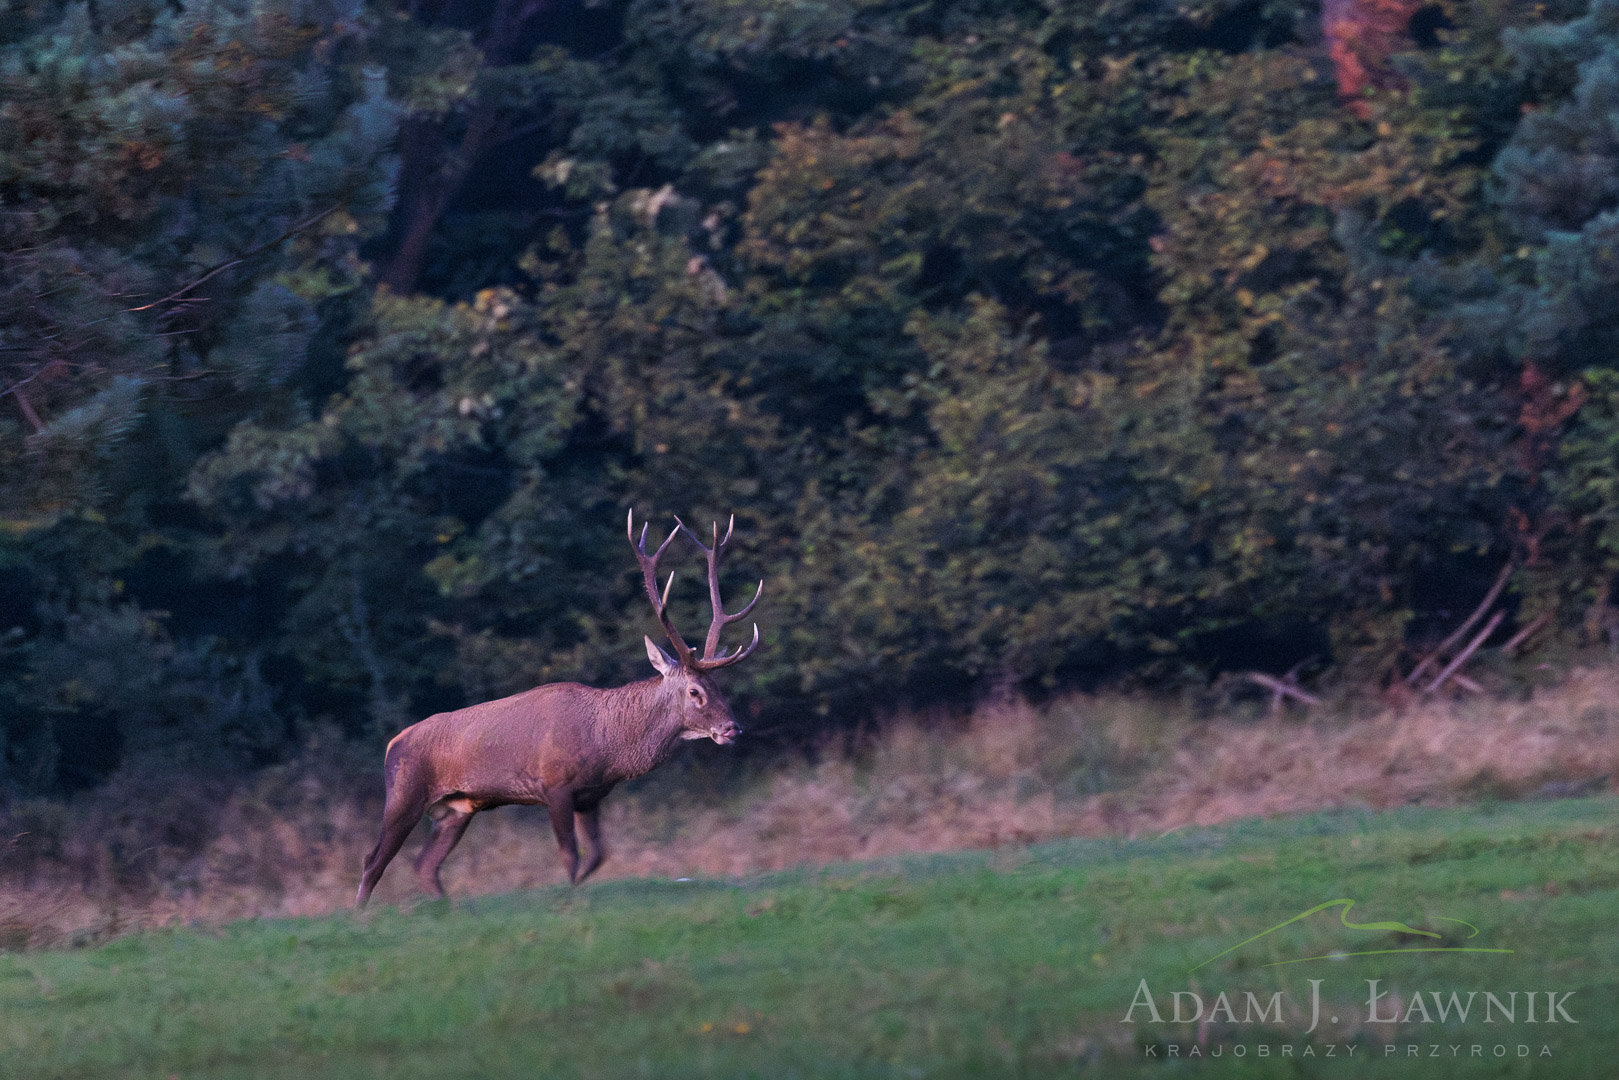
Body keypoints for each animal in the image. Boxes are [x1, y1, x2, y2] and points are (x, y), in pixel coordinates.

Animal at [357, 511, 760, 906]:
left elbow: (598, 855)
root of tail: (392, 744)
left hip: (456, 810)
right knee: (373, 860)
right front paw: (568, 897)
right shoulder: (555, 785)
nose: (732, 728)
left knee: (425, 864)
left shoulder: (590, 796)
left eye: (719, 687)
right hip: (404, 794)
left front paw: (578, 888)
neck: (608, 745)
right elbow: (570, 854)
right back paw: (361, 915)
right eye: (695, 691)